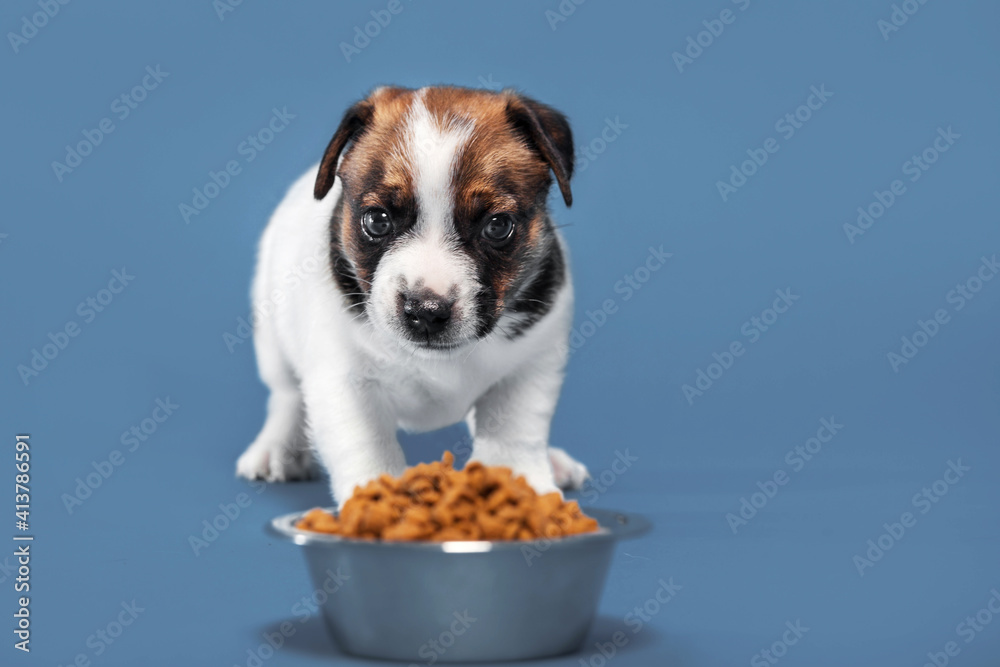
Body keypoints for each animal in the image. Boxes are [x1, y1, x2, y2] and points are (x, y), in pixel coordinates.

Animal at [235, 86, 584, 506]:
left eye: (498, 226)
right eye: (377, 220)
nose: (427, 311)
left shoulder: (529, 368)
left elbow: (514, 432)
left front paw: (524, 488)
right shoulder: (345, 382)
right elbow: (366, 446)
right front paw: (377, 501)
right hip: (272, 338)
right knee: (285, 395)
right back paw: (277, 448)